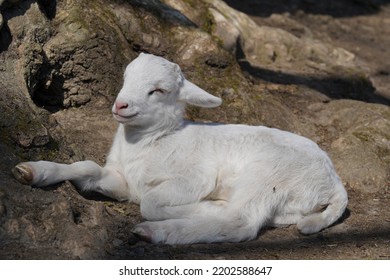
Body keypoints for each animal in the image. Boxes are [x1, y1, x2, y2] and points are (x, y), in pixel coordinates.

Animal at [12, 53, 348, 244]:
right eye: (126, 78)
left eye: (158, 90)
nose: (121, 105)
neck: (152, 142)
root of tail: (334, 183)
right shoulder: (121, 180)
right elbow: (87, 167)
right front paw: (34, 170)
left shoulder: (195, 177)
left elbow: (149, 202)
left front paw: (197, 208)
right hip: (290, 202)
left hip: (270, 172)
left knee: (241, 221)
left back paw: (159, 231)